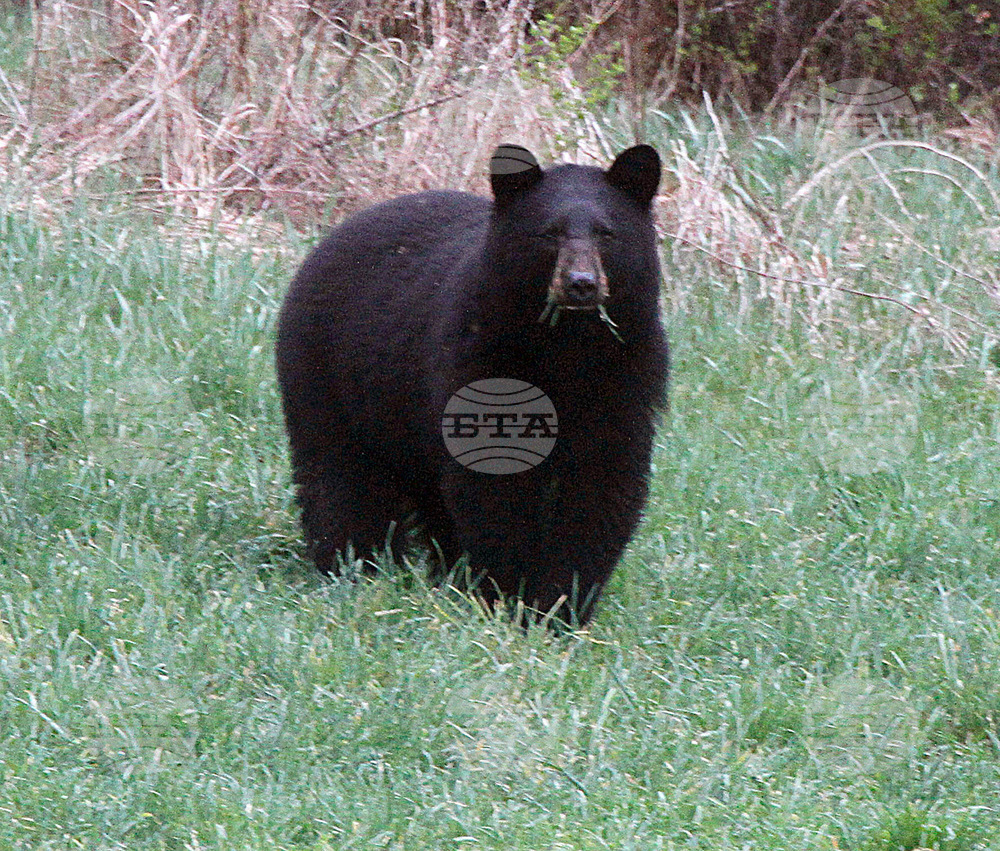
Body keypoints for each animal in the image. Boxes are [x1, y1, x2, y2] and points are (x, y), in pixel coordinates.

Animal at [275, 144, 668, 625]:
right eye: (549, 233)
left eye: (607, 234)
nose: (581, 284)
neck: (566, 349)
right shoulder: (479, 360)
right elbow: (492, 486)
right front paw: (506, 596)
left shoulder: (626, 378)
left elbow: (601, 489)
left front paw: (561, 608)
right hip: (329, 374)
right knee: (339, 476)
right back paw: (353, 565)